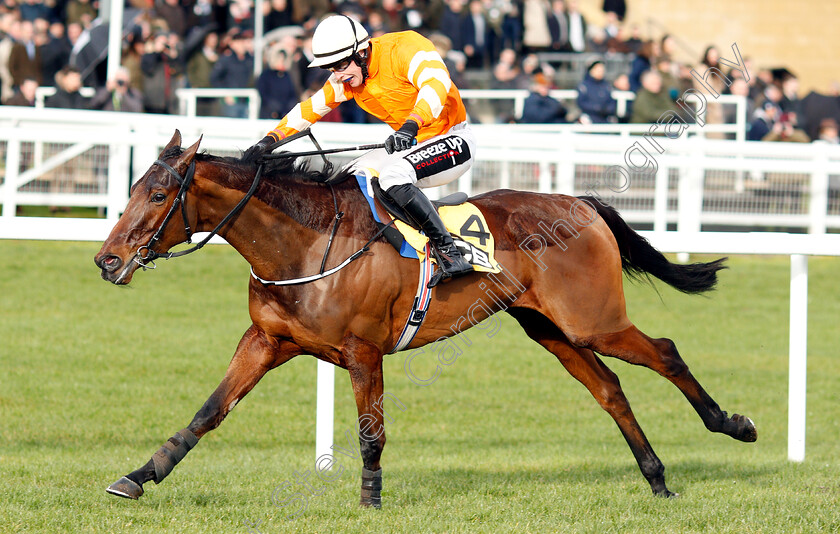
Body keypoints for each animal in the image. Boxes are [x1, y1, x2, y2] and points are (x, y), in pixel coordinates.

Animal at [97, 132, 756, 508]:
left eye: (159, 196)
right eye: (132, 187)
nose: (108, 260)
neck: (305, 246)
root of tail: (579, 202)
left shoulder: (362, 350)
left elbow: (371, 432)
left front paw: (370, 500)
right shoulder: (266, 340)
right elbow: (209, 411)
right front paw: (141, 474)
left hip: (593, 320)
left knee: (665, 351)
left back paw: (732, 424)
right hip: (551, 328)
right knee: (610, 388)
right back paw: (657, 478)